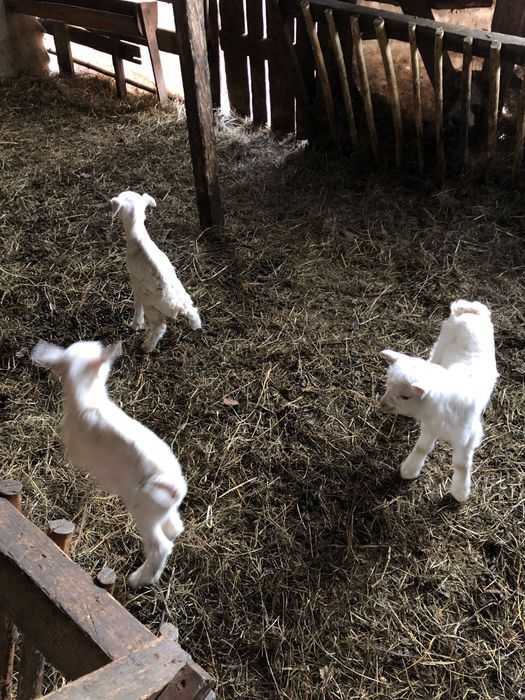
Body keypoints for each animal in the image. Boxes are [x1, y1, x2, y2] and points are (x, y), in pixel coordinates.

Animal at [31, 339, 187, 589]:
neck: (88, 395)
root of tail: (176, 487)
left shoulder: (76, 447)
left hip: (145, 511)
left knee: (161, 546)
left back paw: (138, 580)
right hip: (162, 509)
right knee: (175, 527)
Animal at [110, 190, 201, 353]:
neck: (138, 235)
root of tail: (179, 306)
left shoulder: (135, 281)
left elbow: (137, 305)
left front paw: (135, 324)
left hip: (151, 303)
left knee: (159, 327)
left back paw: (146, 347)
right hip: (186, 299)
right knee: (194, 312)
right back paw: (196, 325)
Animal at [379, 300, 498, 502]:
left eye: (406, 396)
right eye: (388, 385)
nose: (382, 404)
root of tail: (469, 308)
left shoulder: (468, 436)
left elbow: (462, 464)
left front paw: (460, 492)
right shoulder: (430, 426)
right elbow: (422, 447)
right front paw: (410, 469)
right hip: (440, 345)